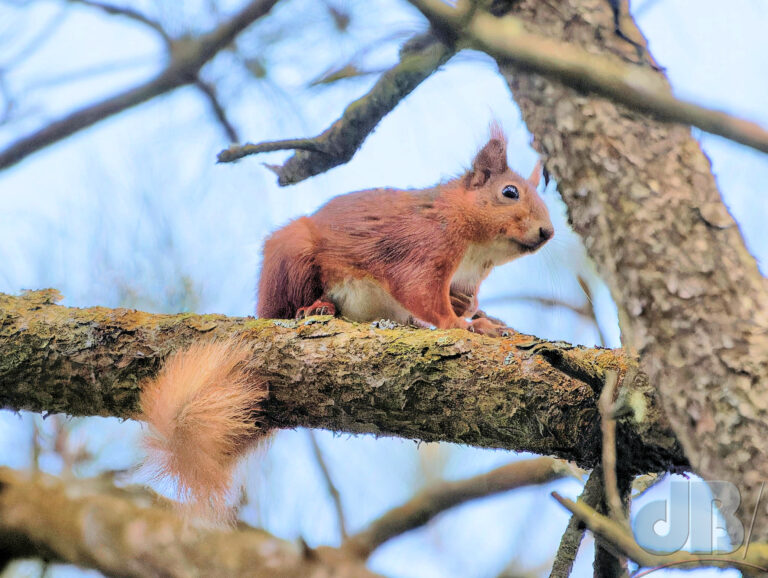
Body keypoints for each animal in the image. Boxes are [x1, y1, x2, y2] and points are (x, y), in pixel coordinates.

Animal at [138, 128, 552, 520]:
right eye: (510, 192)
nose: (547, 232)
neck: (476, 250)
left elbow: (457, 300)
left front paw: (479, 317)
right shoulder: (421, 248)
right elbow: (421, 294)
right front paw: (462, 324)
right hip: (293, 258)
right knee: (292, 302)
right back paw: (316, 308)